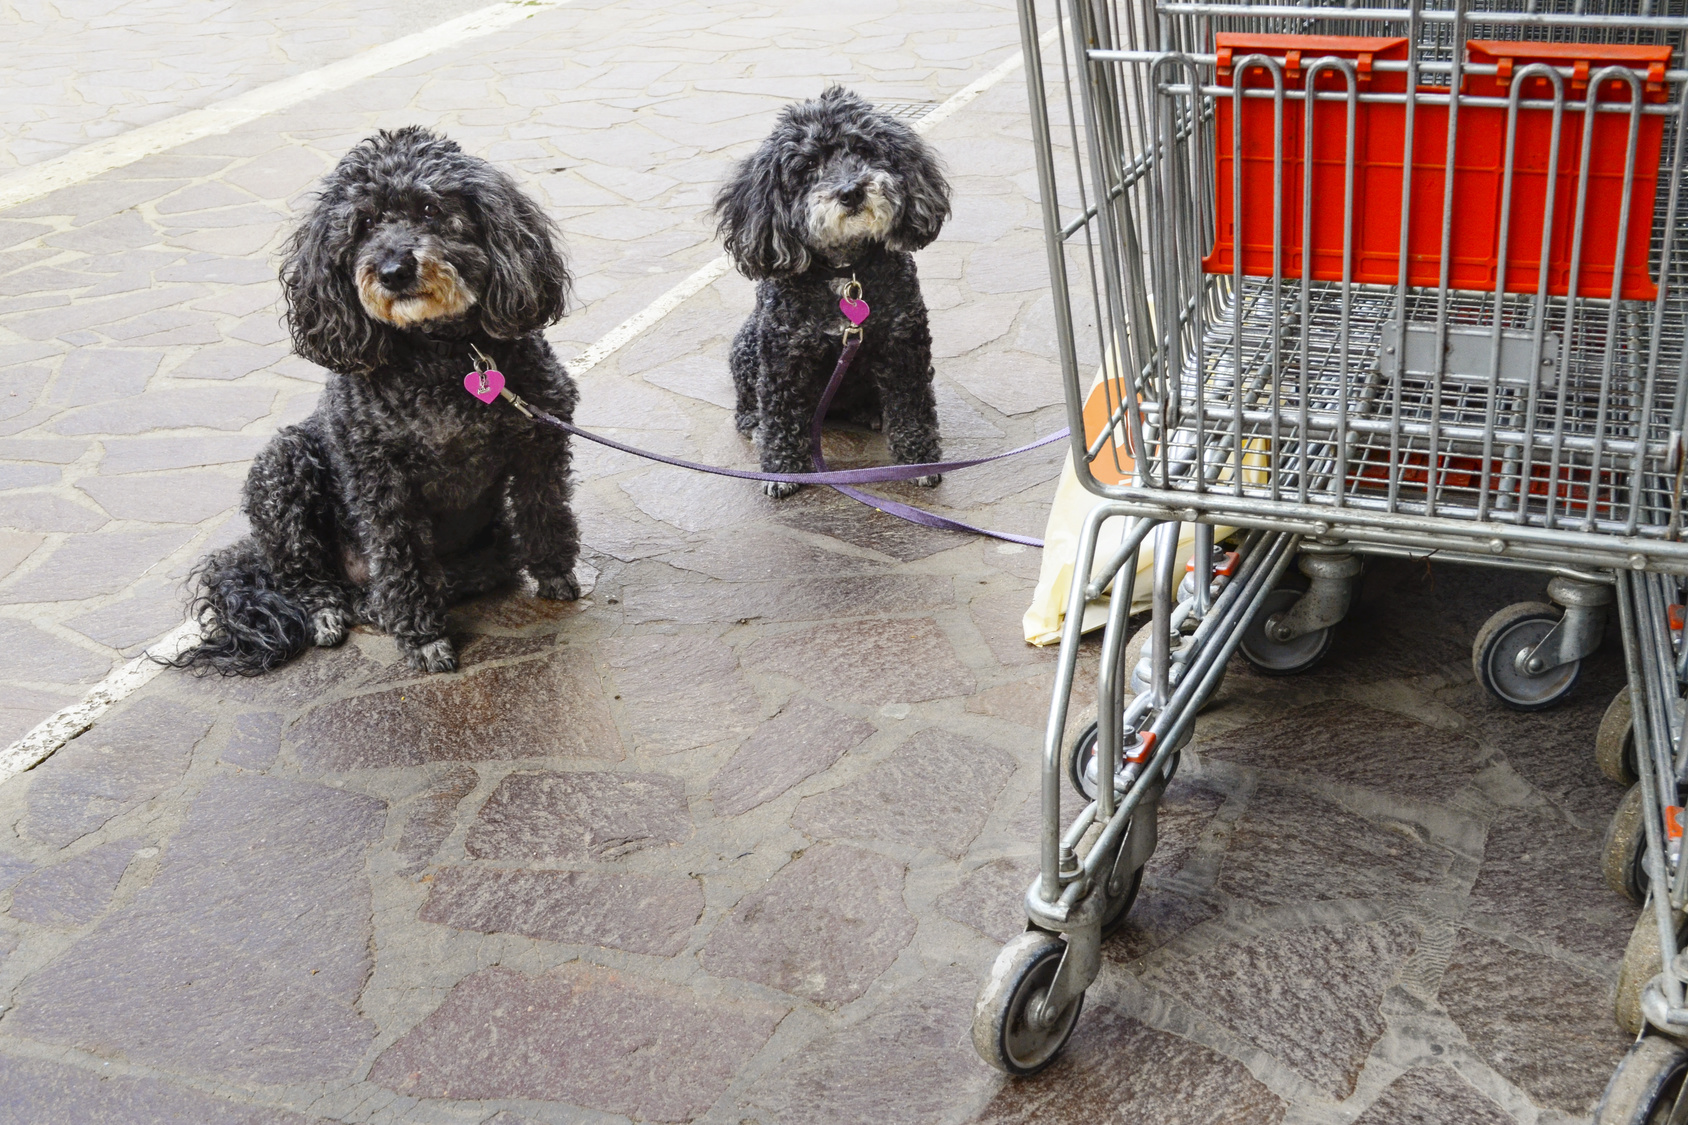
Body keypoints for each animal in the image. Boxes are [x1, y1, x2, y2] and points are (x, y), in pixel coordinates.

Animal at [173, 126, 580, 676]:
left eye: (430, 209)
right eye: (363, 223)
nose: (393, 270)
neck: (443, 357)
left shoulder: (541, 440)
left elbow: (545, 510)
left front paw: (555, 573)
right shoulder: (380, 480)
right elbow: (401, 558)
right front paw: (424, 638)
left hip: (485, 551)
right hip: (283, 467)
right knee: (307, 576)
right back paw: (331, 611)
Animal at [715, 86, 952, 498]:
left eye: (862, 149)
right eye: (808, 165)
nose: (851, 192)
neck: (846, 273)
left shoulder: (903, 345)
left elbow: (913, 407)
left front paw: (920, 460)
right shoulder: (783, 355)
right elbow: (779, 413)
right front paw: (782, 470)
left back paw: (871, 412)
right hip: (746, 346)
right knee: (749, 403)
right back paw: (753, 423)